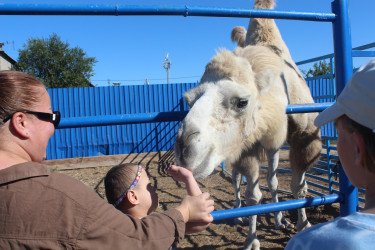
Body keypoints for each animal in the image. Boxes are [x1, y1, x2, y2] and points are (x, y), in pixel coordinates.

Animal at [175, 0, 322, 250]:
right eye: (189, 100)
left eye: (242, 101)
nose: (184, 149)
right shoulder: (246, 146)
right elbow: (253, 196)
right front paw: (252, 240)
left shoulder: (303, 135)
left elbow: (298, 186)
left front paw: (303, 225)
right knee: (236, 178)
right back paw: (238, 215)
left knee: (272, 179)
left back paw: (280, 220)